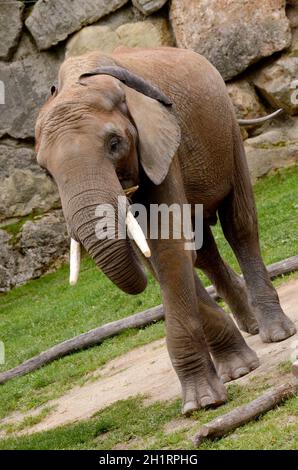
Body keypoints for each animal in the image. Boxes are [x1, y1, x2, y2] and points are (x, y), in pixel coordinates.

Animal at [35, 48, 296, 414]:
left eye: (114, 143)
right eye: (46, 171)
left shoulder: (162, 145)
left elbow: (167, 244)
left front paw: (202, 403)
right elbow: (161, 255)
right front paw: (235, 373)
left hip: (227, 129)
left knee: (240, 224)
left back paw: (275, 332)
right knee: (203, 252)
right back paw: (251, 328)